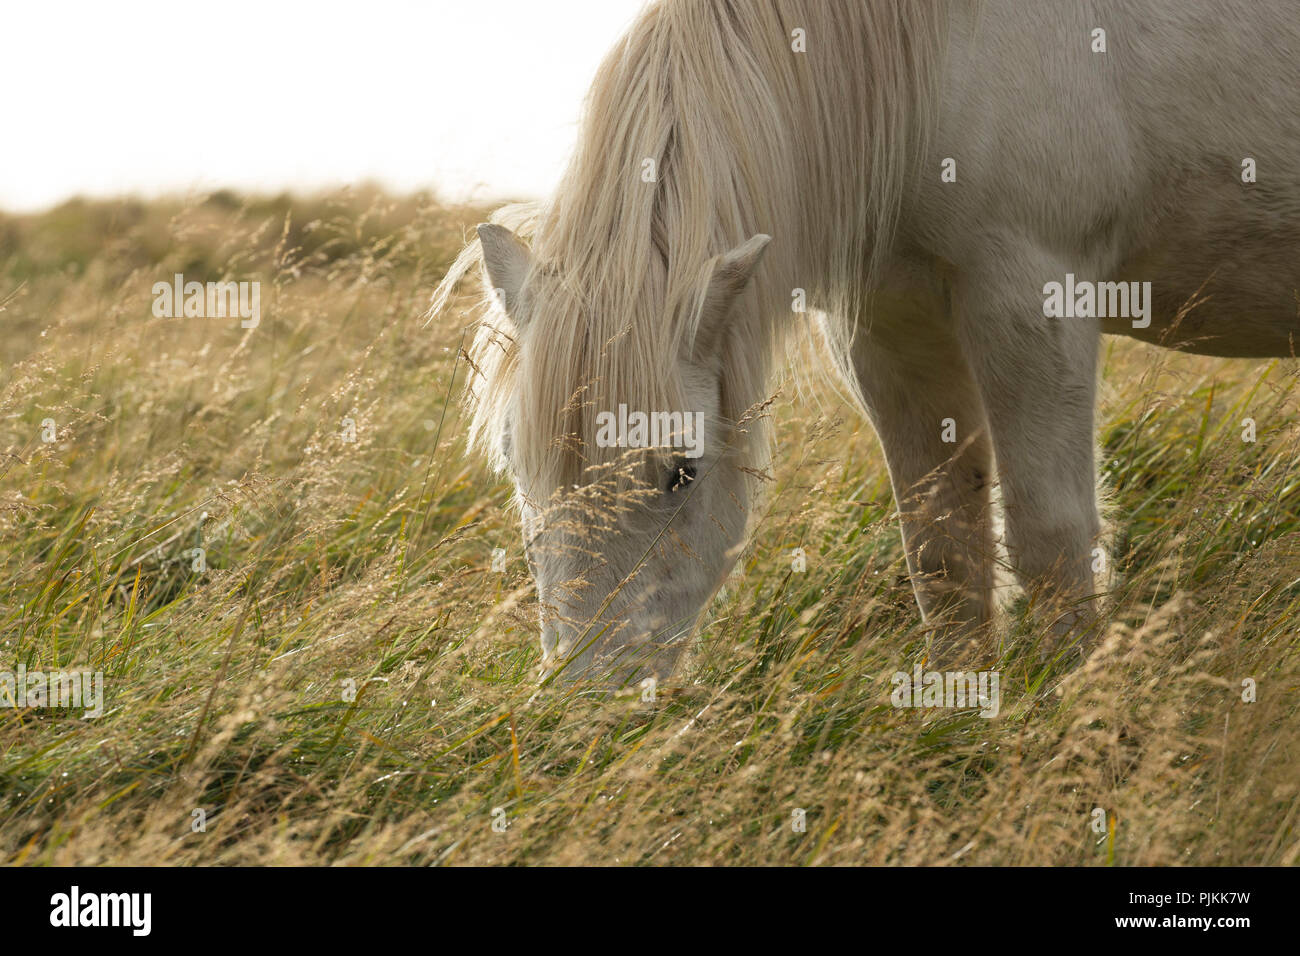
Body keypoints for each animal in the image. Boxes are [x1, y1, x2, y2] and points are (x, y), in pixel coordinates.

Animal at [436, 1, 1300, 686]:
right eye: (516, 462)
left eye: (683, 470)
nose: (586, 704)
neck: (943, 50)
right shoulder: (893, 329)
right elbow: (943, 549)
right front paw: (963, 717)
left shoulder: (1036, 298)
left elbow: (1050, 539)